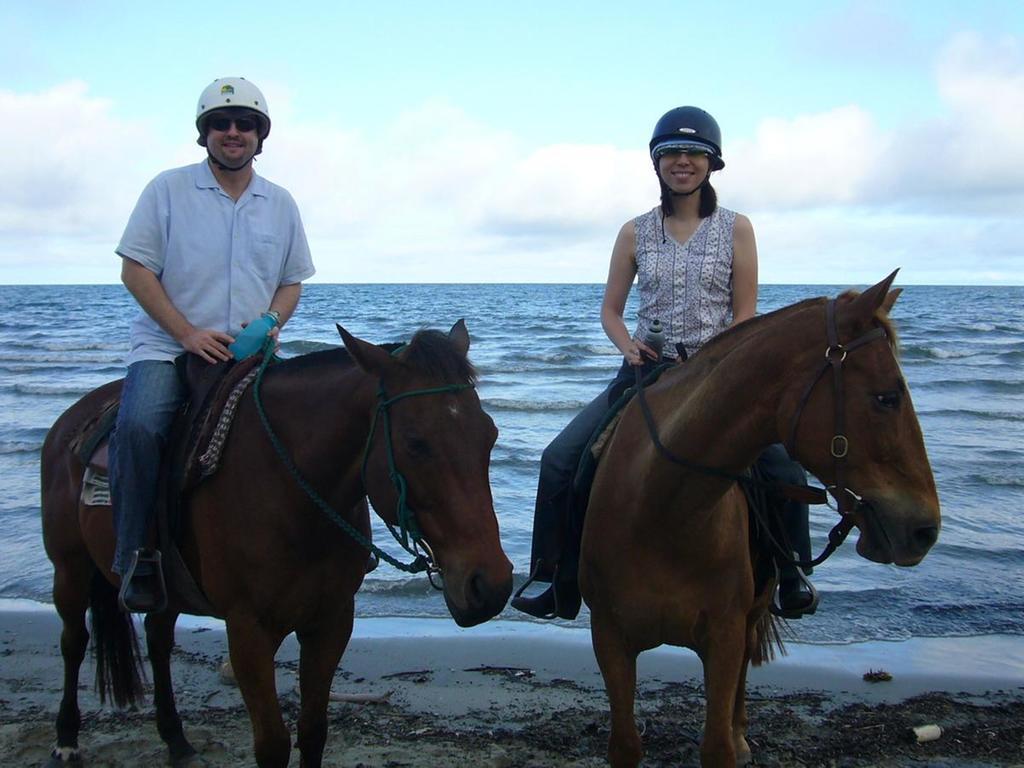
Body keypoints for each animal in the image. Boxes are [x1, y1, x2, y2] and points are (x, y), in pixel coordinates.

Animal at [39, 321, 512, 768]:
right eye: (416, 442)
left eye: (489, 435)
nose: (491, 585)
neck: (289, 490)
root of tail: (70, 421)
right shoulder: (248, 631)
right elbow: (272, 745)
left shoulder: (332, 620)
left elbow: (313, 730)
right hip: (70, 569)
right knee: (73, 641)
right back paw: (65, 739)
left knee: (157, 642)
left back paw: (176, 740)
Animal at [581, 274, 937, 765]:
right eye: (887, 397)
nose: (925, 530)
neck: (662, 510)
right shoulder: (609, 638)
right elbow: (625, 744)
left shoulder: (725, 637)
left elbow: (717, 744)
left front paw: (731, 739)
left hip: (752, 614)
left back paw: (741, 734)